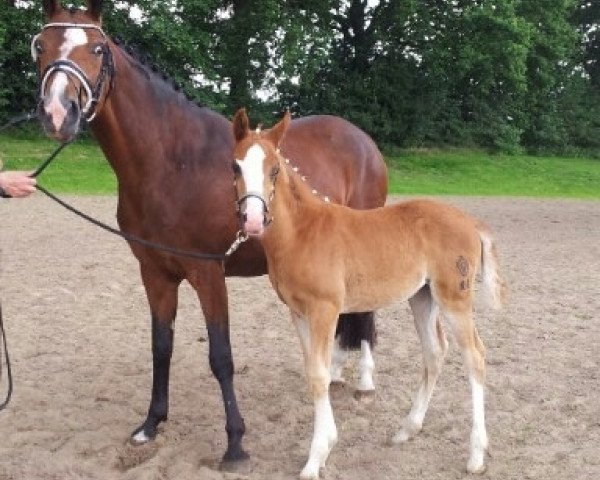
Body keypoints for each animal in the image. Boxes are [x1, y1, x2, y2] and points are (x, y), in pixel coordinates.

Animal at [31, 0, 390, 464]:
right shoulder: (155, 273)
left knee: (366, 313)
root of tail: (361, 139)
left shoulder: (207, 273)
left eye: (96, 48)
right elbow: (160, 346)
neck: (173, 160)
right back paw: (336, 375)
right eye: (40, 45)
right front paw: (151, 424)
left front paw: (235, 443)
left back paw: (364, 382)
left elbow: (221, 356)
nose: (59, 113)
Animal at [232, 109, 504, 480]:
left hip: (454, 298)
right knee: (435, 352)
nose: (253, 221)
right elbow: (311, 371)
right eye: (235, 166)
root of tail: (470, 222)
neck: (302, 232)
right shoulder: (298, 312)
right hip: (423, 297)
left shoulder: (325, 310)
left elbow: (320, 375)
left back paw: (475, 454)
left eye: (274, 168)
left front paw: (315, 458)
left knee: (475, 356)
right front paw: (326, 445)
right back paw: (408, 428)